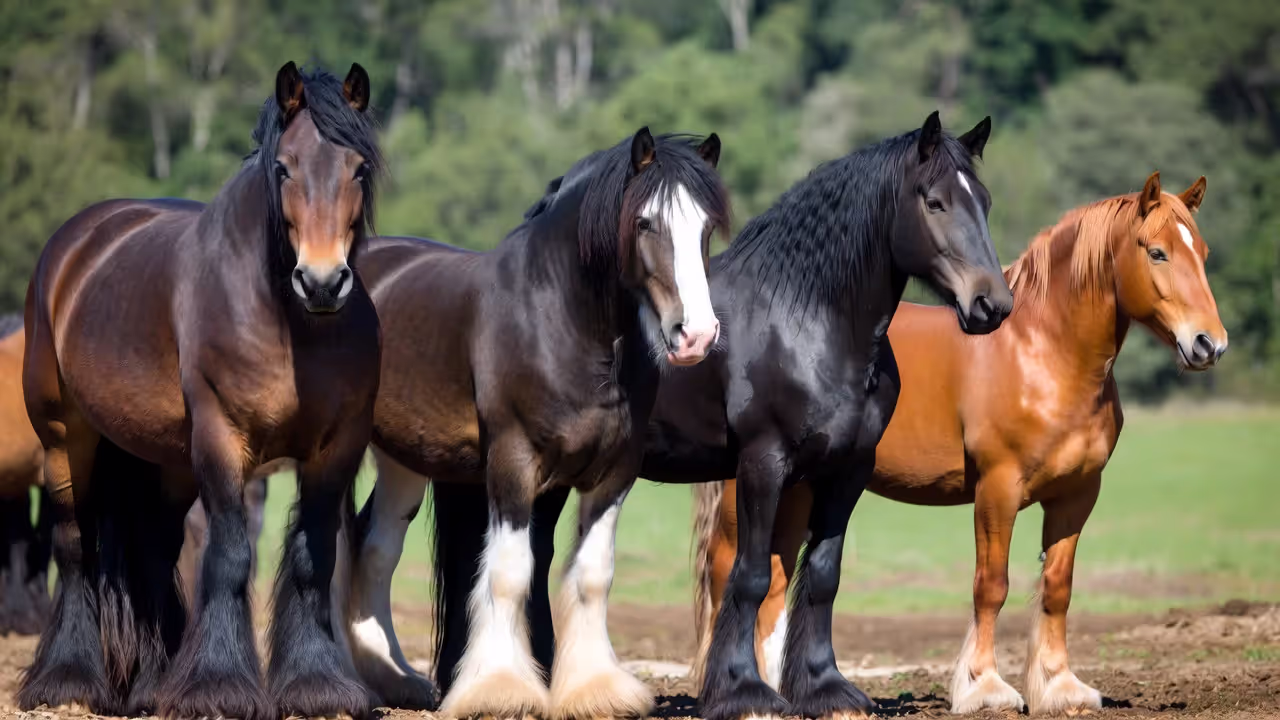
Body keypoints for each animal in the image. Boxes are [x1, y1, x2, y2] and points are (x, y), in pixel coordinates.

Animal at [17, 62, 383, 720]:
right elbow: (230, 555)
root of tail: (75, 243)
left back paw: (152, 686)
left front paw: (315, 685)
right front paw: (220, 687)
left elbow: (313, 558)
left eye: (359, 168)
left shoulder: (336, 448)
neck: (290, 323)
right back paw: (69, 679)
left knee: (156, 550)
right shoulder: (221, 438)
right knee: (74, 544)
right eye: (283, 167)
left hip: (164, 460)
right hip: (64, 438)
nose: (321, 281)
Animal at [339, 129, 731, 719]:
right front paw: (502, 689)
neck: (561, 322)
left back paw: (396, 679)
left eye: (705, 227)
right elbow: (508, 573)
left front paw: (596, 689)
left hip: (403, 459)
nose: (696, 336)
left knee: (376, 547)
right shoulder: (513, 463)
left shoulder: (610, 474)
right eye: (644, 223)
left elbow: (591, 575)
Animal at [691, 172, 1228, 715]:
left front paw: (1060, 686)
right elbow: (991, 586)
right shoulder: (998, 489)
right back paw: (742, 693)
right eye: (1157, 252)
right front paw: (984, 687)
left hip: (799, 488)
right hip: (754, 490)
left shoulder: (1077, 496)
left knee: (775, 582)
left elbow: (1058, 588)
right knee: (729, 572)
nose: (1210, 344)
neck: (1041, 352)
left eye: (1203, 252)